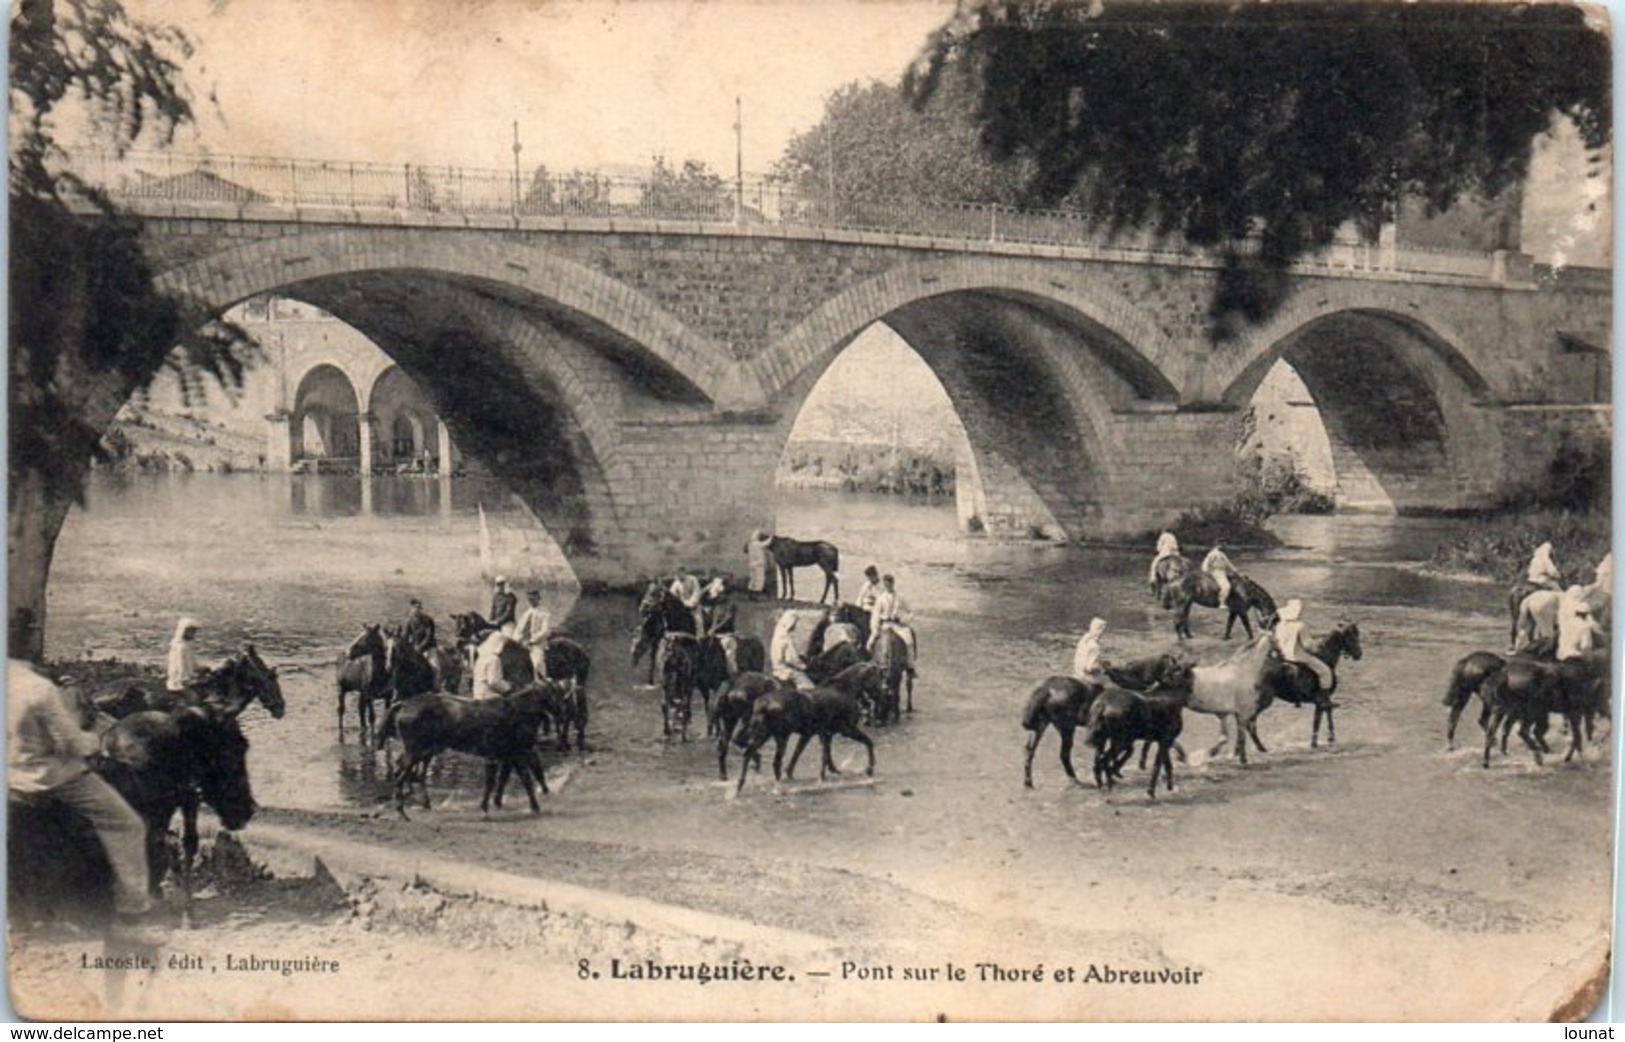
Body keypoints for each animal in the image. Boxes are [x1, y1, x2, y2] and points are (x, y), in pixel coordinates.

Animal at [1254, 617, 1358, 747]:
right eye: (1352, 636)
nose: (1359, 654)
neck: (1326, 660)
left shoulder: (1320, 701)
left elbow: (1319, 718)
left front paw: (1317, 740)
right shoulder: (1323, 700)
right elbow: (1324, 714)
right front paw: (1329, 738)